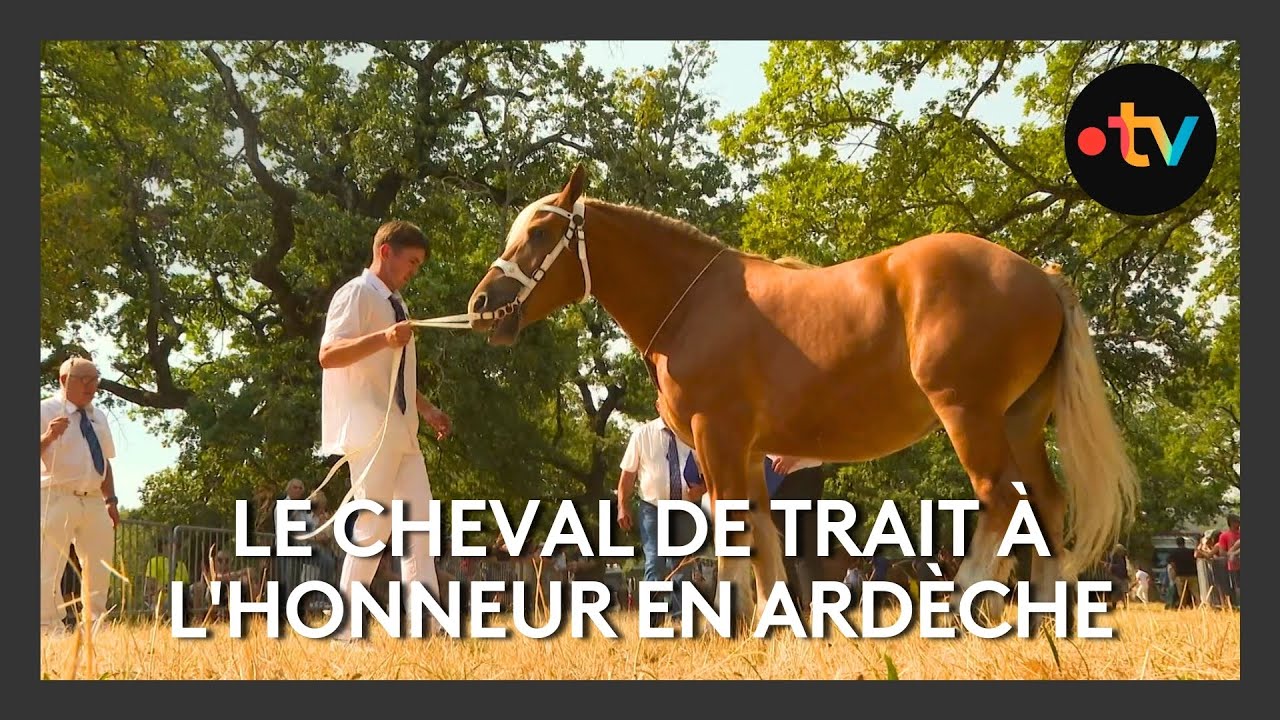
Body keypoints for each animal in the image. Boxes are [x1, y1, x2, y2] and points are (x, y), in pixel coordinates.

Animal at [463, 164, 1140, 631]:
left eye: (541, 231)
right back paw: (1044, 620)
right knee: (1045, 507)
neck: (695, 304)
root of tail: (1040, 278)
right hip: (1021, 421)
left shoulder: (717, 436)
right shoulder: (750, 453)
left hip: (969, 416)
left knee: (1001, 500)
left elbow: (732, 531)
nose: (480, 305)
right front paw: (771, 624)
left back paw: (959, 610)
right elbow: (763, 535)